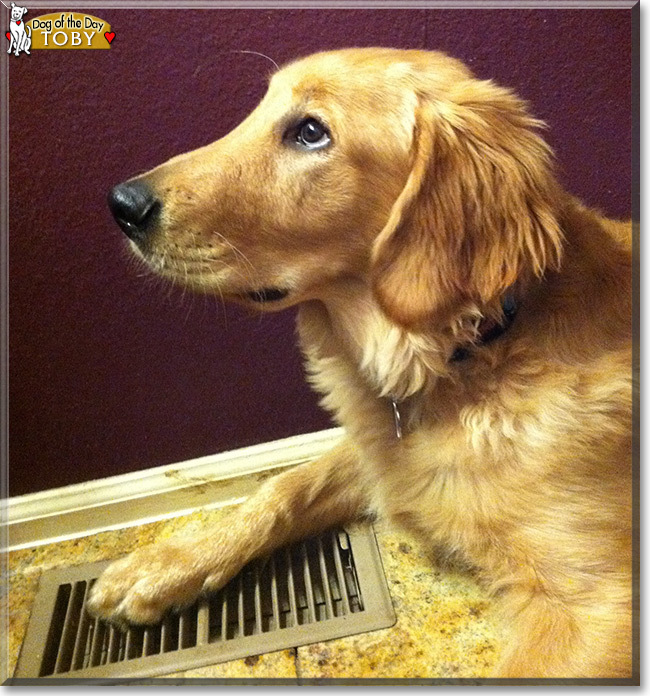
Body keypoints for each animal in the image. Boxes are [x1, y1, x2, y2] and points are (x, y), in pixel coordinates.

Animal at [88, 49, 632, 680]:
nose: (122, 205)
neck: (469, 354)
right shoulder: (379, 449)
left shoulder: (596, 606)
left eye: (310, 132)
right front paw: (167, 564)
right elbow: (282, 487)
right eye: (261, 108)